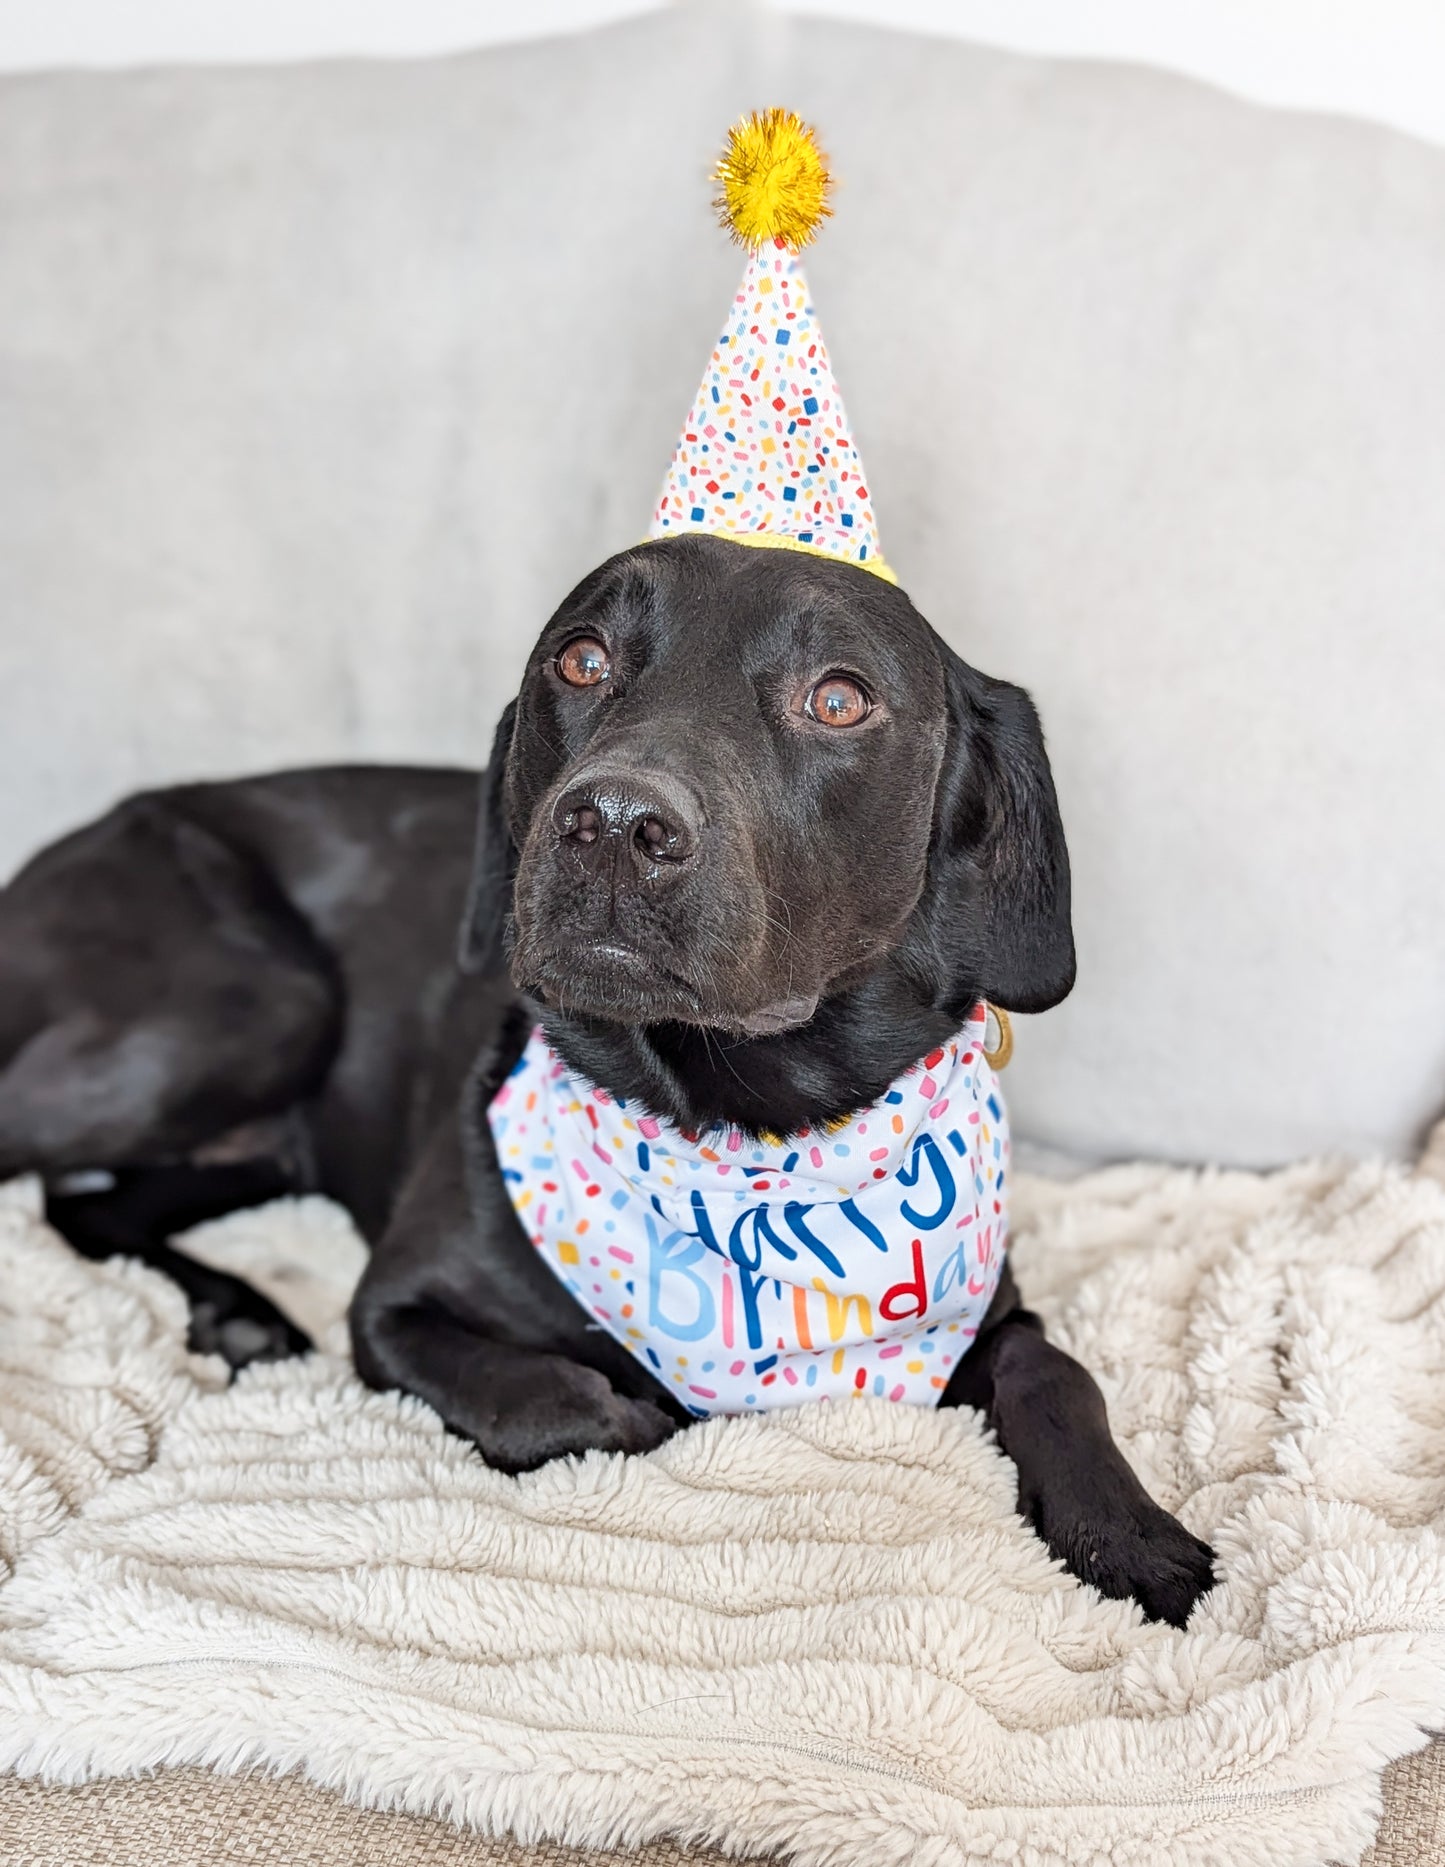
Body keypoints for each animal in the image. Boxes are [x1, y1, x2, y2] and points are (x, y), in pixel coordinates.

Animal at [0, 537, 1224, 1620]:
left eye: (837, 699)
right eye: (580, 659)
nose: (615, 822)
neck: (734, 1126)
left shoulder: (976, 1310)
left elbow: (1055, 1370)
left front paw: (1130, 1531)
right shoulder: (390, 1307)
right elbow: (546, 1397)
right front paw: (625, 1404)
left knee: (91, 1203)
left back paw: (232, 1309)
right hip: (258, 1008)